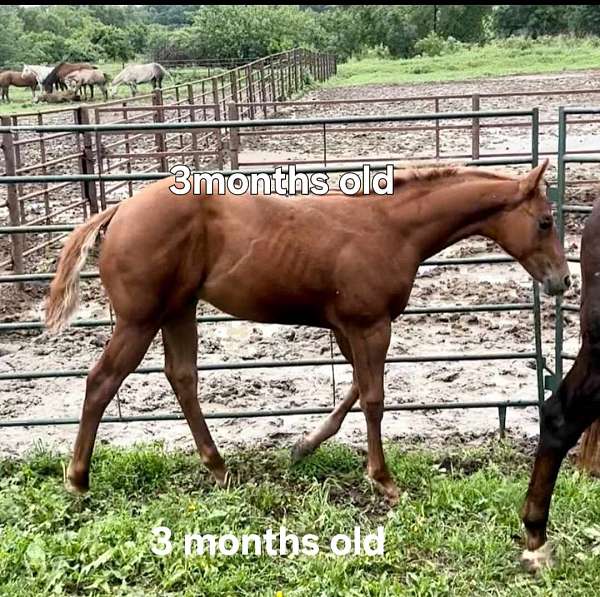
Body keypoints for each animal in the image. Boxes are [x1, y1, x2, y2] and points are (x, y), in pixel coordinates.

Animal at [47, 159, 568, 502]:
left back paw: (218, 468)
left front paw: (302, 447)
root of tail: (118, 212)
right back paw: (78, 480)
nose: (562, 281)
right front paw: (384, 480)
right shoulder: (370, 325)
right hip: (140, 320)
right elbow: (374, 398)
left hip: (178, 310)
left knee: (182, 377)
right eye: (545, 221)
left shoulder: (348, 326)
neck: (391, 227)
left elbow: (354, 389)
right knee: (101, 381)